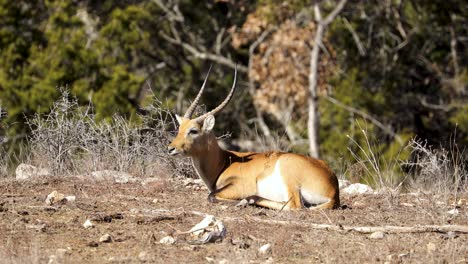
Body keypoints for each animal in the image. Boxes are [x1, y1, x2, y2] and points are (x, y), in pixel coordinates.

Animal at [168, 65, 340, 208]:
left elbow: (211, 195)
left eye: (193, 130)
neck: (225, 162)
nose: (170, 148)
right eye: (179, 129)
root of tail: (334, 189)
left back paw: (248, 200)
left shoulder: (237, 186)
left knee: (294, 205)